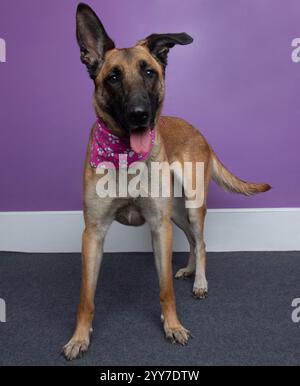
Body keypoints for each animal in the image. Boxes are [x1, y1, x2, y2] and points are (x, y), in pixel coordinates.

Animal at [62, 3, 270, 360]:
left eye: (149, 72)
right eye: (113, 77)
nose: (139, 115)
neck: (125, 156)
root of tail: (200, 133)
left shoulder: (159, 228)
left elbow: (166, 290)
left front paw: (172, 326)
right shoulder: (93, 234)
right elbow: (85, 297)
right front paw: (79, 337)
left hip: (192, 206)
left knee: (201, 241)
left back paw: (199, 282)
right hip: (175, 213)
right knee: (191, 239)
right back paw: (189, 269)